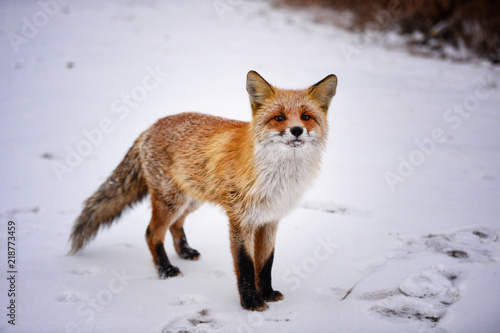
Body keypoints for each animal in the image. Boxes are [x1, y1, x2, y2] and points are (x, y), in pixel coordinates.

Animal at [69, 70, 336, 312]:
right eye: (279, 117)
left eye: (306, 117)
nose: (297, 130)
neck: (279, 177)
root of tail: (150, 127)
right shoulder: (240, 219)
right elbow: (246, 265)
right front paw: (250, 302)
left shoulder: (270, 219)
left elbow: (266, 262)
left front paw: (268, 293)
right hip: (171, 201)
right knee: (151, 233)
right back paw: (165, 270)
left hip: (192, 199)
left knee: (175, 226)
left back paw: (185, 252)